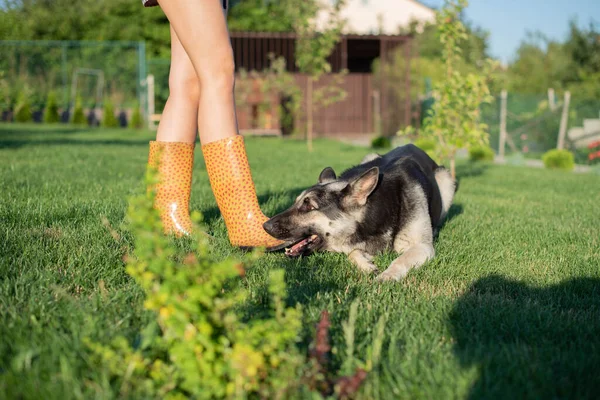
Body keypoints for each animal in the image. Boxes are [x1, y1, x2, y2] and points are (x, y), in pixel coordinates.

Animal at [264, 145, 458, 282]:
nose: (265, 225)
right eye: (296, 202)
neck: (378, 210)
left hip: (447, 181)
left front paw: (387, 276)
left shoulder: (422, 247)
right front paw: (366, 265)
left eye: (309, 207)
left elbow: (401, 260)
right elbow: (353, 252)